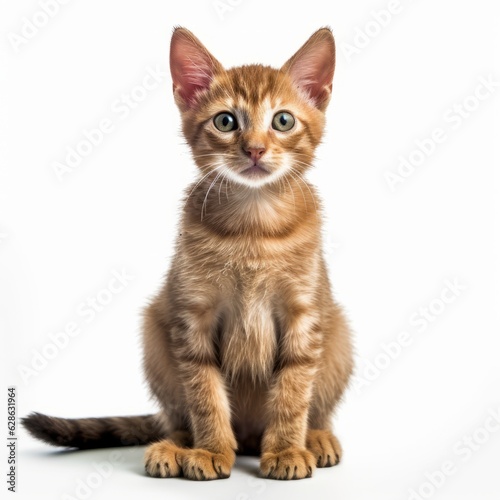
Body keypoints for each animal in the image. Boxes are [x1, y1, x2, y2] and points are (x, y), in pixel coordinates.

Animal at [22, 26, 352, 480]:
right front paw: (211, 450)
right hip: (154, 331)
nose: (254, 149)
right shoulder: (193, 315)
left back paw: (316, 437)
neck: (252, 227)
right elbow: (205, 393)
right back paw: (173, 446)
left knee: (315, 408)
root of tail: (250, 438)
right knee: (176, 417)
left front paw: (286, 449)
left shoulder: (304, 314)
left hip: (339, 334)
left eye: (282, 120)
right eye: (226, 121)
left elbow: (292, 389)